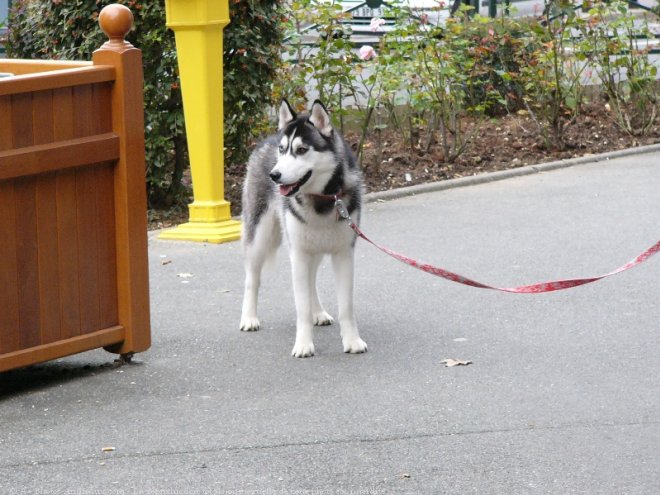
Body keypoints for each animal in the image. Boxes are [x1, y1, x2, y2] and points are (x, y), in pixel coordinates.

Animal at [240, 101, 368, 358]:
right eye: (283, 150)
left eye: (301, 150)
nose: (274, 175)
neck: (323, 200)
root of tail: (267, 138)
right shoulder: (298, 254)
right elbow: (301, 308)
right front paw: (303, 344)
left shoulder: (344, 254)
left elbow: (346, 306)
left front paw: (352, 341)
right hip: (261, 237)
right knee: (252, 278)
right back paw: (249, 318)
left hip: (313, 246)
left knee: (311, 281)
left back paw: (317, 312)